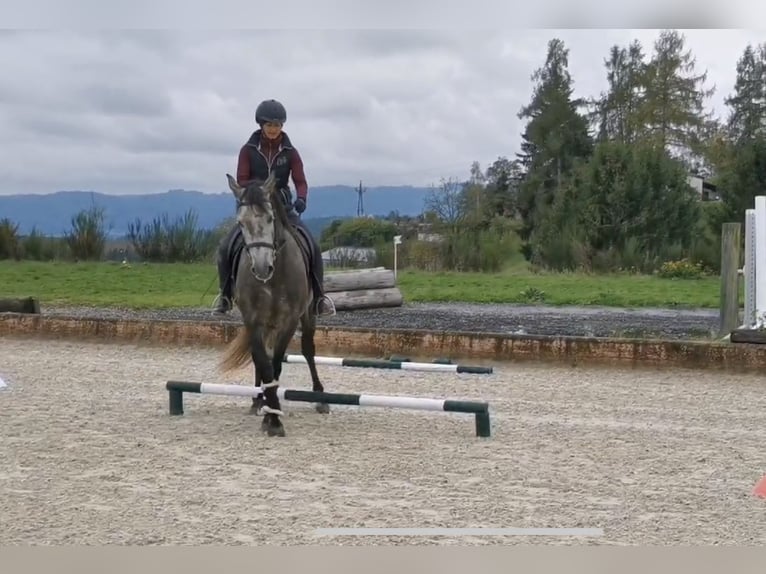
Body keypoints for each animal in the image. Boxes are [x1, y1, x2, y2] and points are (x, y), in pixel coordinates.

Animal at [219, 171, 332, 436]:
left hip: (307, 315)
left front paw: (274, 418)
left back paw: (320, 397)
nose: (262, 267)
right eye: (240, 223)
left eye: (270, 218)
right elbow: (263, 362)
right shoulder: (253, 320)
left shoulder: (289, 320)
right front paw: (270, 413)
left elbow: (277, 363)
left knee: (308, 350)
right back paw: (257, 400)